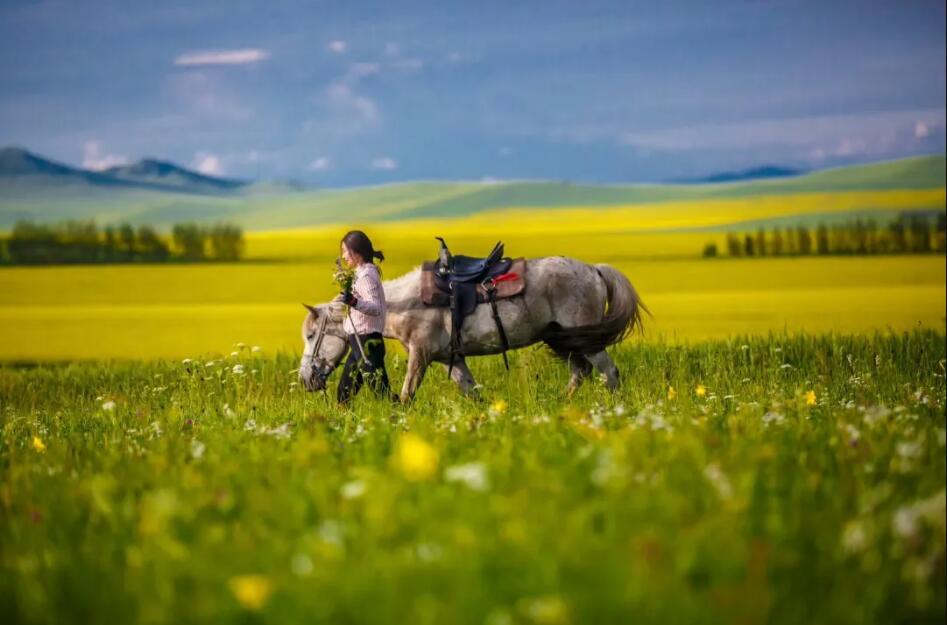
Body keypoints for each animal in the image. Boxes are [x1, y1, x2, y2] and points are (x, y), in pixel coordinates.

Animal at [300, 256, 648, 402]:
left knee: (609, 373)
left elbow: (407, 394)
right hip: (567, 340)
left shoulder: (420, 355)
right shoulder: (449, 359)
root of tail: (595, 270)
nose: (305, 380)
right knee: (580, 373)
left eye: (310, 336)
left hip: (586, 340)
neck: (402, 303)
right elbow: (472, 392)